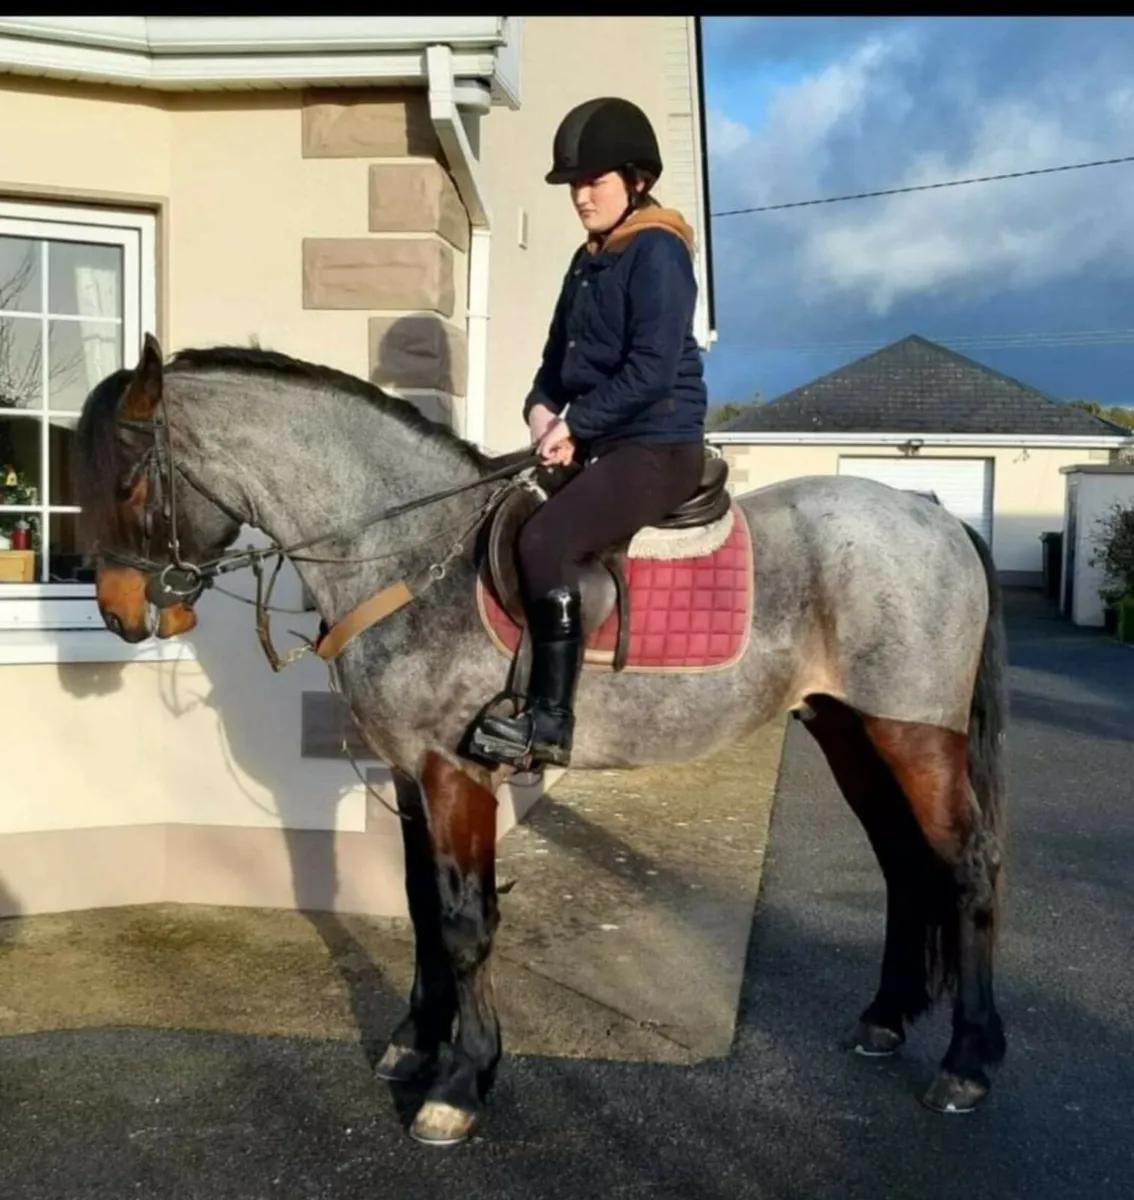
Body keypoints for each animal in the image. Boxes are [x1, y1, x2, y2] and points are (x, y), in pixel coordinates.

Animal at [72, 334, 1009, 1146]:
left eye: (127, 484)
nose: (116, 612)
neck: (403, 548)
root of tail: (934, 517)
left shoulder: (456, 773)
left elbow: (465, 921)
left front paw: (460, 1083)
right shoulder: (411, 774)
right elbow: (421, 907)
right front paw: (416, 1042)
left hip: (913, 737)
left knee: (966, 868)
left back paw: (967, 1062)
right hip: (848, 731)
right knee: (904, 864)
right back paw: (884, 1020)